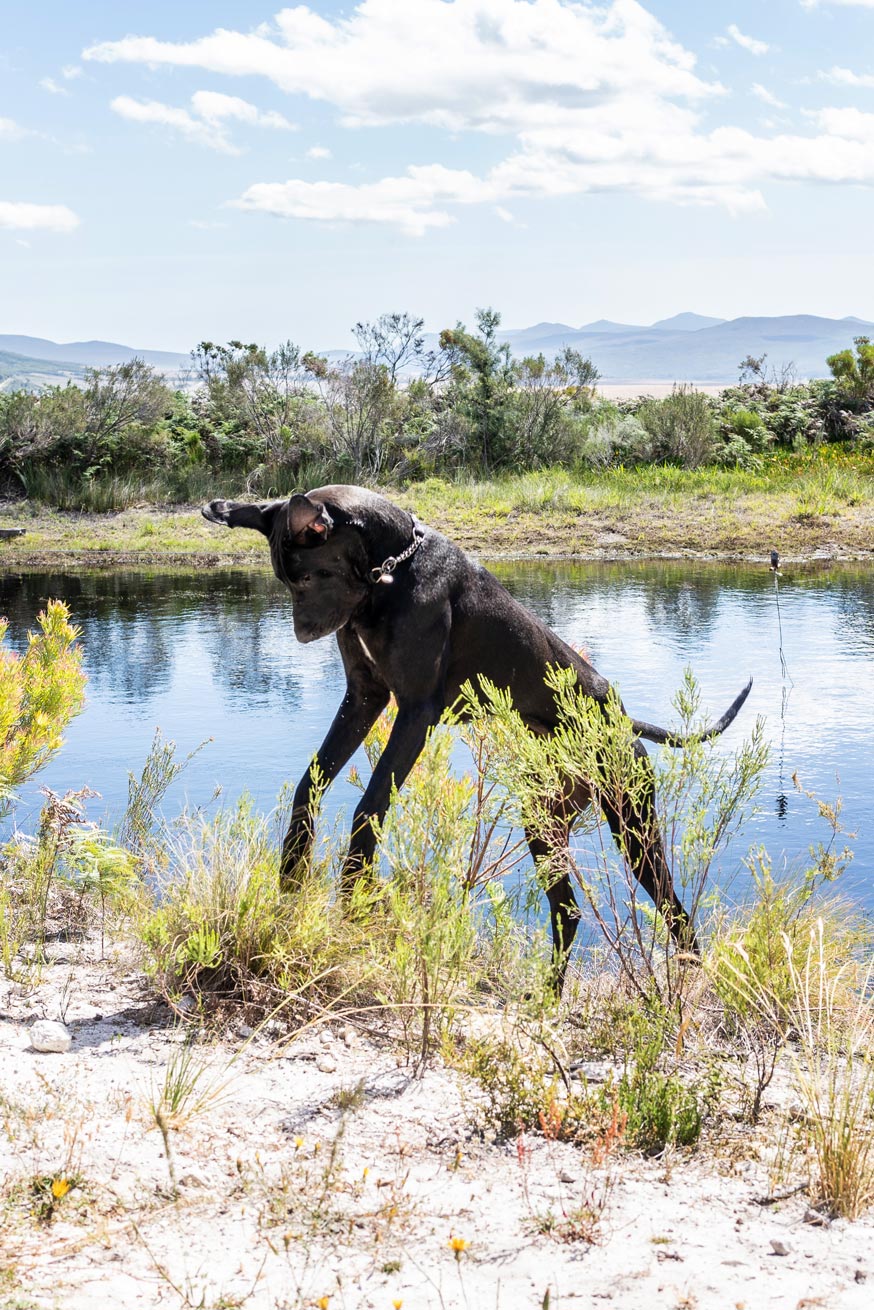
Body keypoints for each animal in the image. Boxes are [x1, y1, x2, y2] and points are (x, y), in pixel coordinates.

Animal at [205, 487, 754, 985]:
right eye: (286, 580)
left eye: (307, 576)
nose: (301, 633)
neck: (393, 567)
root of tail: (624, 719)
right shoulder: (364, 697)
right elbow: (310, 784)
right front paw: (292, 875)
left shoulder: (415, 712)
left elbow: (370, 806)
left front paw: (351, 898)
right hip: (544, 822)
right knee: (569, 911)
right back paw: (544, 1000)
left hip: (632, 823)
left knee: (672, 908)